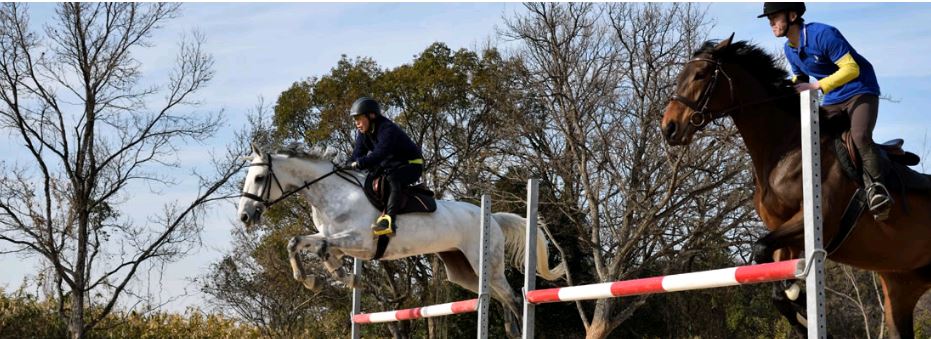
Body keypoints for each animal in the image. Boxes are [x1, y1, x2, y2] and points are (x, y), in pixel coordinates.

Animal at [237, 144, 564, 338]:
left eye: (259, 178)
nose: (245, 216)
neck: (332, 194)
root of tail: (492, 217)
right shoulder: (332, 236)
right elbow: (298, 242)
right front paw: (316, 278)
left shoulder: (362, 242)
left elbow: (323, 247)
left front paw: (334, 274)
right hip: (465, 273)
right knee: (496, 297)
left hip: (488, 266)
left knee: (513, 297)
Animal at [664, 35, 931, 338]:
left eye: (700, 75)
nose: (668, 128)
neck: (786, 148)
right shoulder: (786, 236)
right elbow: (776, 284)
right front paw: (799, 309)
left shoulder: (817, 221)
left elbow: (761, 250)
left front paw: (801, 301)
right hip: (902, 285)